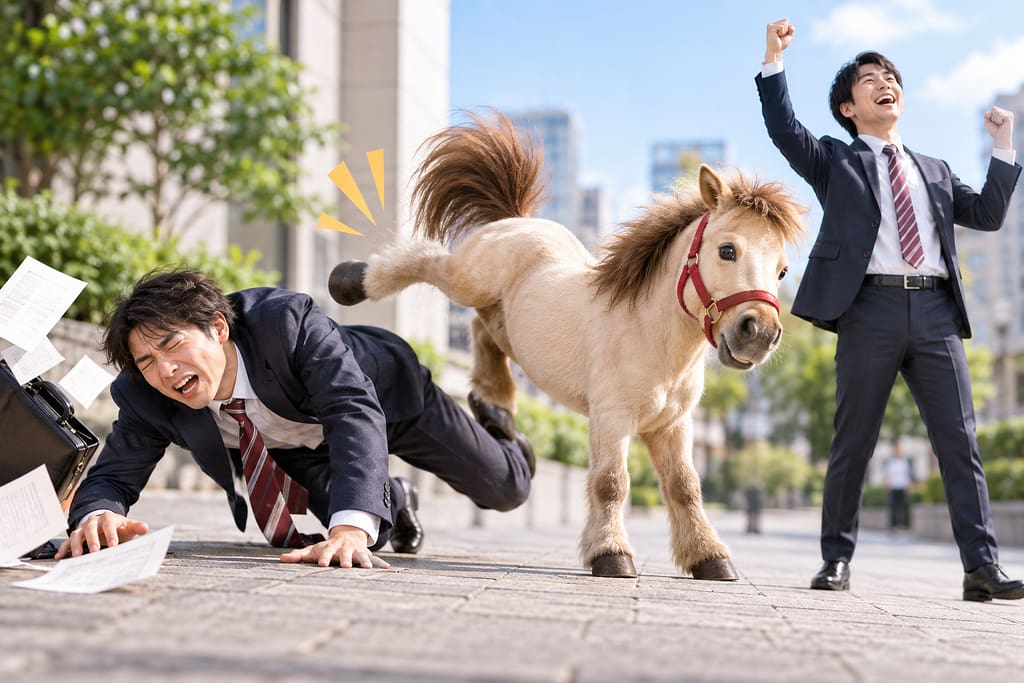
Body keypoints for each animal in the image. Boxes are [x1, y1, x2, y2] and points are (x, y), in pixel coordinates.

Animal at [329, 112, 805, 580]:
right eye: (727, 250)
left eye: (782, 270)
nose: (759, 333)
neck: (651, 336)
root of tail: (518, 218)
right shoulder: (611, 418)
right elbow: (611, 483)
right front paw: (611, 555)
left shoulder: (671, 426)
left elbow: (685, 488)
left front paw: (710, 558)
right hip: (468, 279)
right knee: (426, 261)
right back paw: (349, 281)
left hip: (502, 316)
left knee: (483, 331)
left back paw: (495, 407)